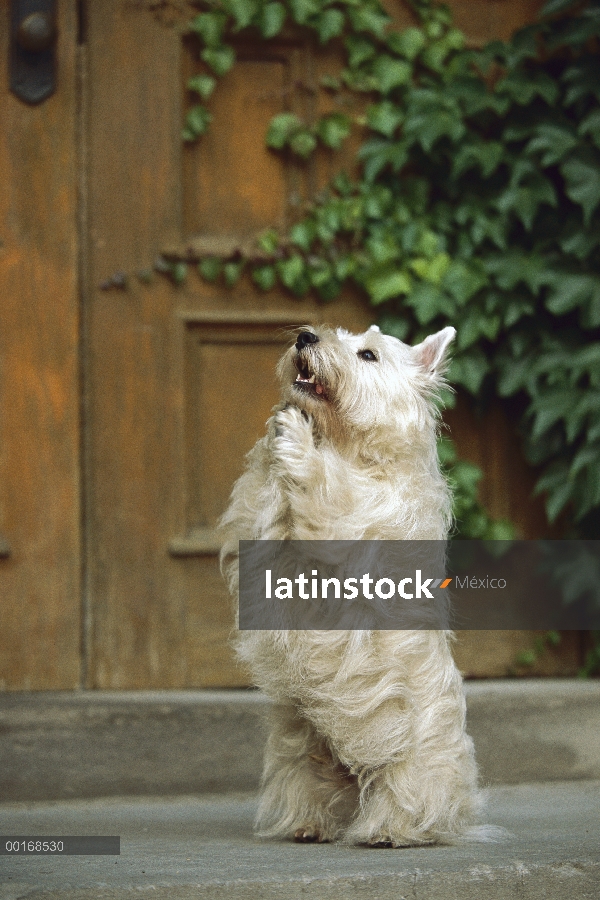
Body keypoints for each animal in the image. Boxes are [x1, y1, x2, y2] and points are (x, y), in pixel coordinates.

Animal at [220, 326, 482, 848]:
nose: (305, 336)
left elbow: (329, 494)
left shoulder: (361, 519)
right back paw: (307, 826)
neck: (346, 447)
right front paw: (281, 422)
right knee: (311, 786)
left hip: (414, 753)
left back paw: (389, 832)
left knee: (405, 792)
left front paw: (297, 437)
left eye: (368, 354)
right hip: (297, 740)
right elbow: (261, 499)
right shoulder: (262, 529)